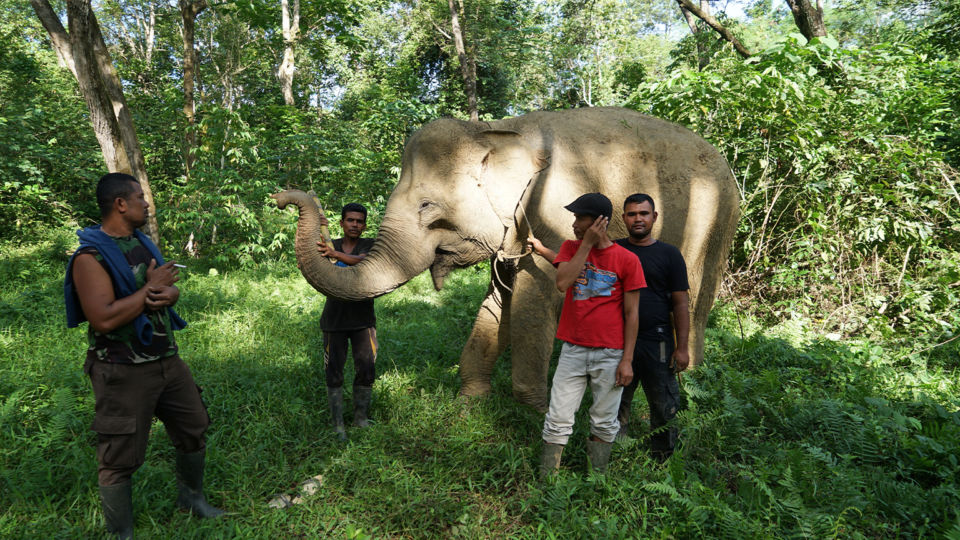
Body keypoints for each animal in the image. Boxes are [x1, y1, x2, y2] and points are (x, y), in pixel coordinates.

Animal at [274, 107, 740, 416]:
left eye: (427, 207)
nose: (283, 197)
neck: (496, 131)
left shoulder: (556, 216)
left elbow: (534, 302)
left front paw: (531, 411)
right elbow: (499, 301)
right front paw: (469, 401)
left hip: (715, 220)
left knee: (692, 298)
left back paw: (686, 379)